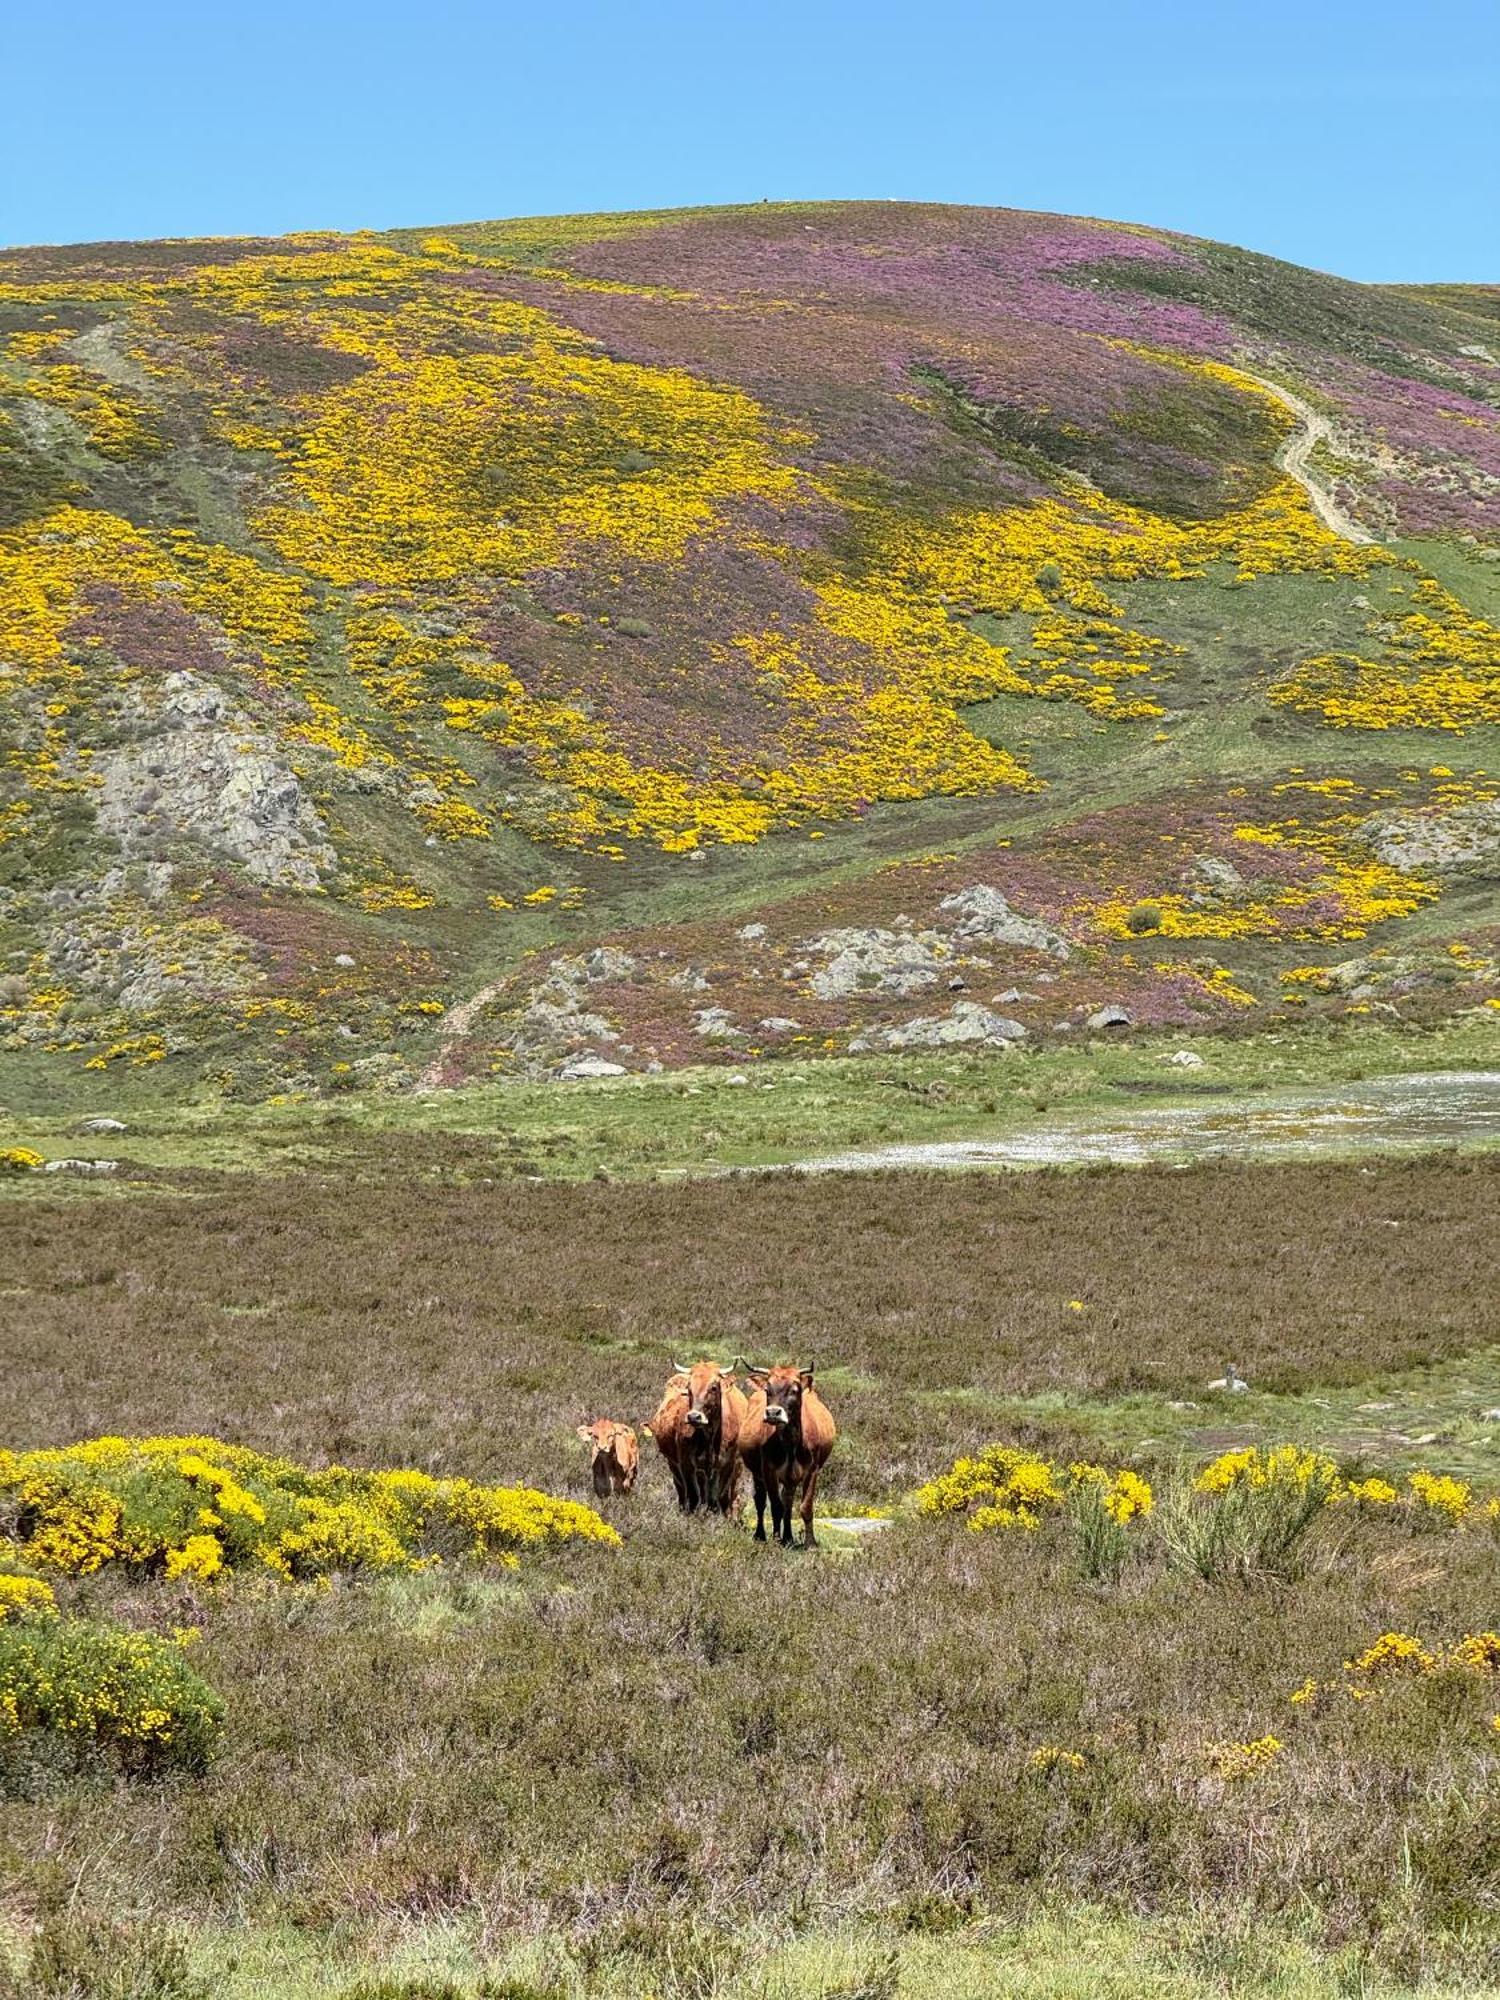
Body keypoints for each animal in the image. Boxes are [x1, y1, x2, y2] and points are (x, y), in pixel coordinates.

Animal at [656, 1360, 752, 1512]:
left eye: (713, 1387)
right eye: (689, 1388)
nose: (694, 1417)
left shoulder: (728, 1464)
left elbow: (722, 1497)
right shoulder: (687, 1465)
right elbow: (693, 1497)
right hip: (674, 1464)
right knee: (683, 1491)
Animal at [736, 1360, 836, 1544]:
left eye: (794, 1390)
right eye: (767, 1390)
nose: (773, 1413)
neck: (791, 1442)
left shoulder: (812, 1470)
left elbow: (805, 1507)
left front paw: (810, 1542)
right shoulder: (768, 1470)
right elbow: (776, 1507)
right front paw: (776, 1540)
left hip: (791, 1478)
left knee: (787, 1503)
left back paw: (788, 1538)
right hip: (757, 1472)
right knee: (761, 1501)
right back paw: (761, 1535)